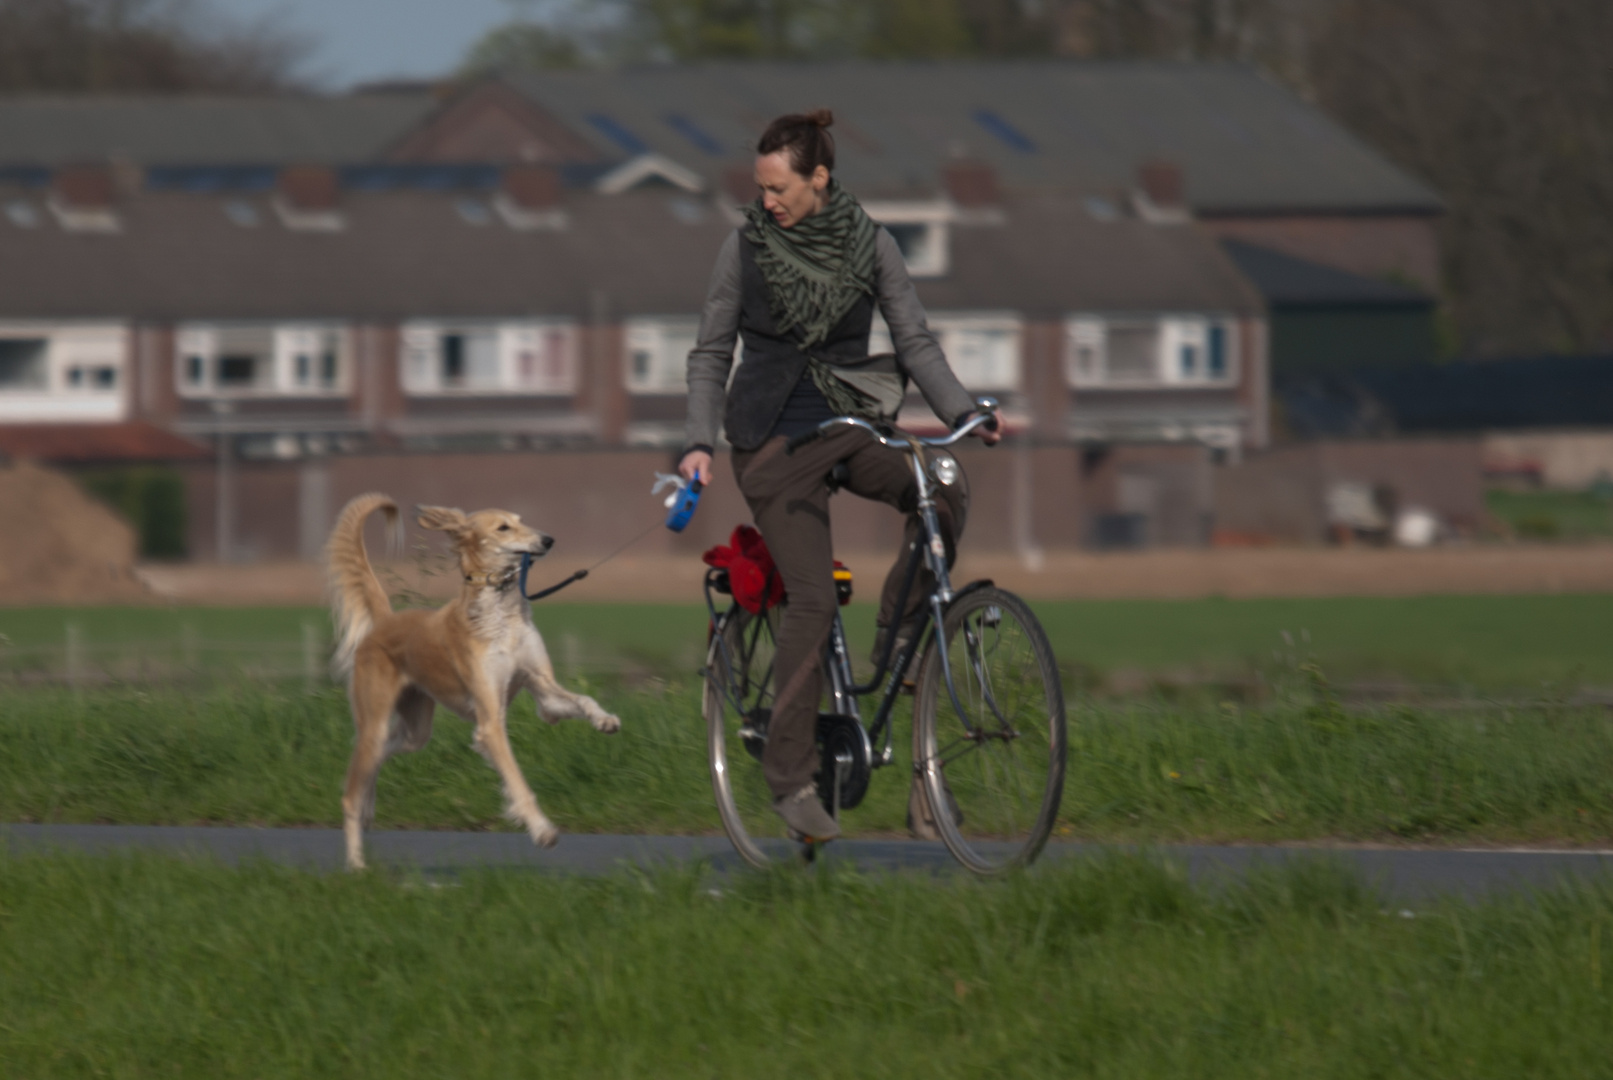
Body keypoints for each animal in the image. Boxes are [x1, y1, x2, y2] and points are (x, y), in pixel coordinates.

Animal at [322, 496, 616, 876]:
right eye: (503, 527)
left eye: (521, 520)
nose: (548, 540)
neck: (502, 618)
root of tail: (385, 621)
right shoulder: (490, 723)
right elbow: (517, 782)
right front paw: (542, 830)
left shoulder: (544, 690)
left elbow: (583, 699)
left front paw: (605, 720)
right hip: (375, 719)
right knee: (351, 790)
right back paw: (356, 863)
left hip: (416, 729)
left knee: (377, 760)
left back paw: (368, 809)